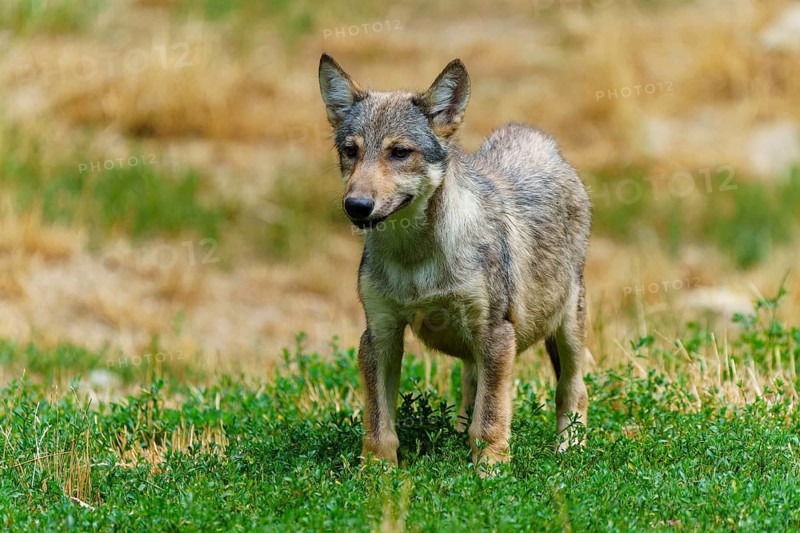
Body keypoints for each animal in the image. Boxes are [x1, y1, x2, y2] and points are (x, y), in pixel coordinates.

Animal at [318, 54, 592, 469]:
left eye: (399, 152)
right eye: (351, 151)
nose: (357, 206)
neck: (416, 260)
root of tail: (532, 136)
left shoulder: (496, 332)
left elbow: (491, 419)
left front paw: (490, 471)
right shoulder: (379, 334)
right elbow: (378, 425)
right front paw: (377, 473)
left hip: (567, 329)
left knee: (574, 390)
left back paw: (569, 451)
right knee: (470, 388)